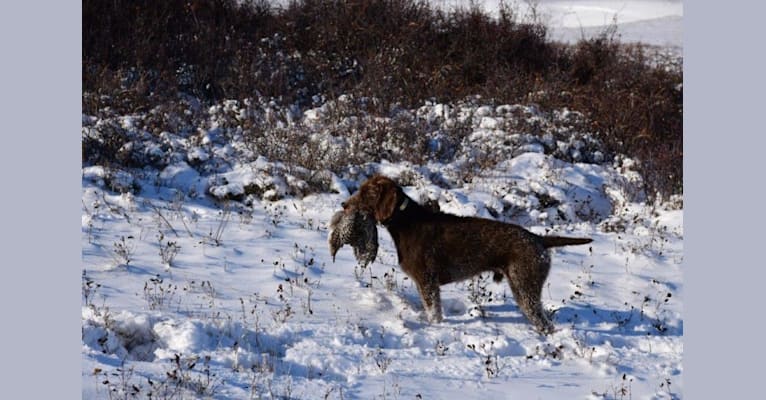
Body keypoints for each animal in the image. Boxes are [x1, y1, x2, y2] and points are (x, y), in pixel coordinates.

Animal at [342, 173, 592, 332]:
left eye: (365, 193)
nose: (344, 205)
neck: (406, 222)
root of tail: (538, 239)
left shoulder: (427, 281)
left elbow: (434, 313)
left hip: (525, 287)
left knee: (545, 323)